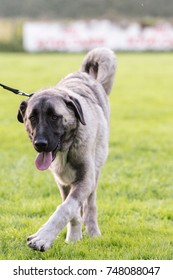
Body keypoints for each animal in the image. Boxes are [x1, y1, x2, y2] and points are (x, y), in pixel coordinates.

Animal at [17, 48, 116, 252]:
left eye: (54, 117)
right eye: (32, 118)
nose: (40, 144)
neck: (66, 148)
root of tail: (85, 75)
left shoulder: (85, 179)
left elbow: (65, 208)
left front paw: (43, 237)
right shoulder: (62, 182)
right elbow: (71, 210)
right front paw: (73, 238)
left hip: (95, 171)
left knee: (91, 206)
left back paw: (93, 232)